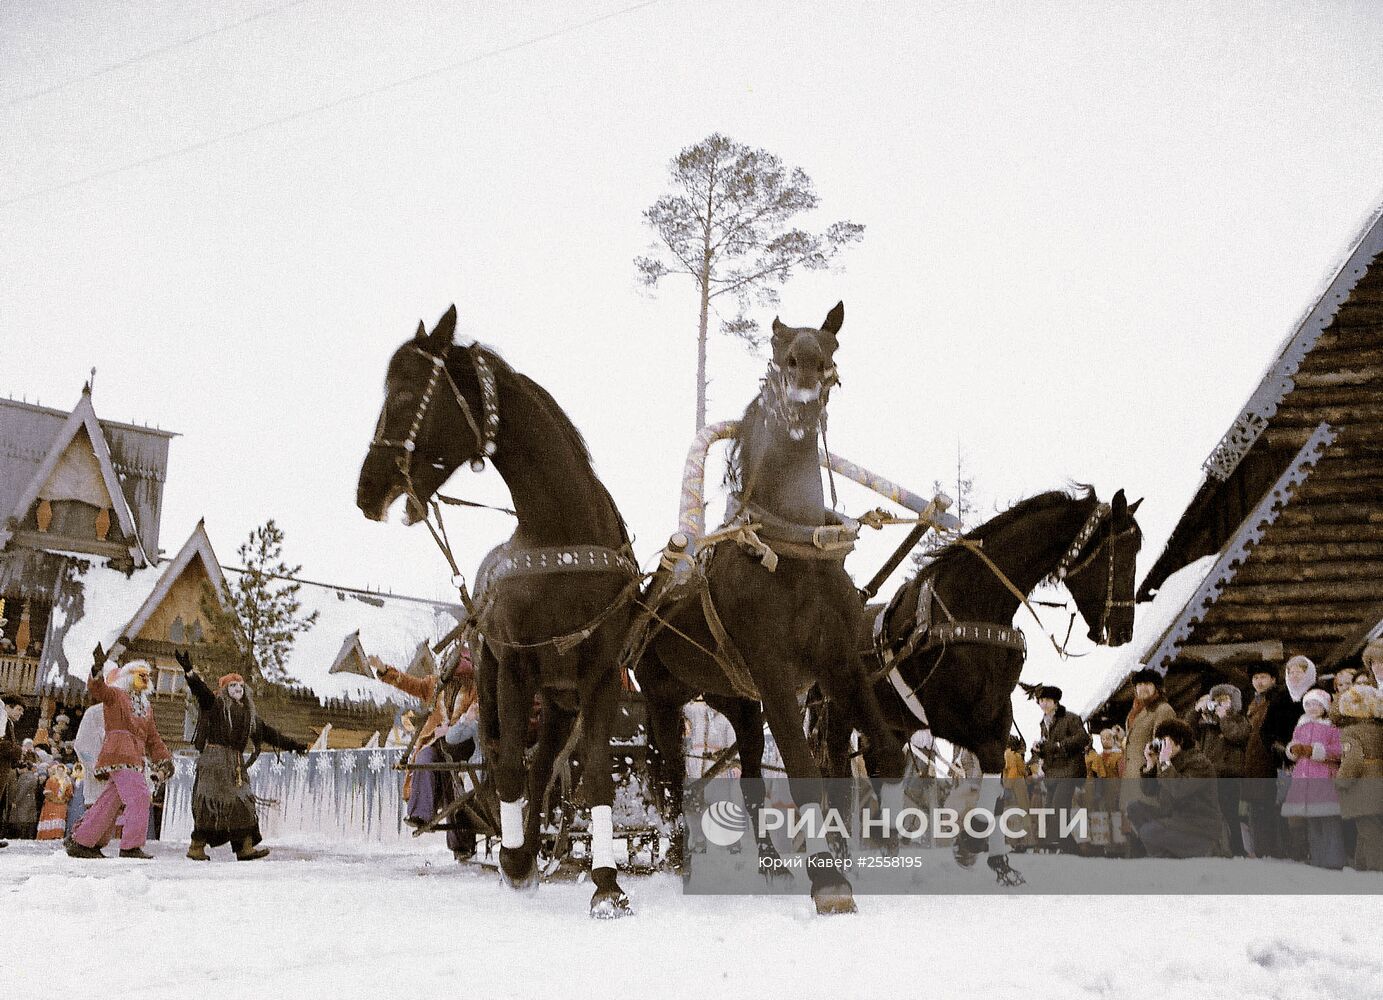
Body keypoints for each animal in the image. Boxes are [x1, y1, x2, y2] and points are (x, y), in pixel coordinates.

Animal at [356, 308, 636, 918]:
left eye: (406, 391)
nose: (368, 489)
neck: (562, 536)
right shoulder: (513, 666)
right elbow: (505, 767)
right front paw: (513, 862)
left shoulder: (601, 677)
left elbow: (594, 777)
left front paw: (607, 885)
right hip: (500, 680)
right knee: (514, 766)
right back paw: (517, 854)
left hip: (559, 703)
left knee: (545, 766)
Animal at [630, 302, 907, 912]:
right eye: (780, 355)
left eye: (828, 355)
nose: (802, 396)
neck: (792, 552)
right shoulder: (775, 673)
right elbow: (804, 771)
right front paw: (829, 880)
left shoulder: (840, 664)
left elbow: (883, 755)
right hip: (663, 699)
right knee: (669, 780)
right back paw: (677, 858)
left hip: (737, 702)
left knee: (752, 781)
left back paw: (771, 862)